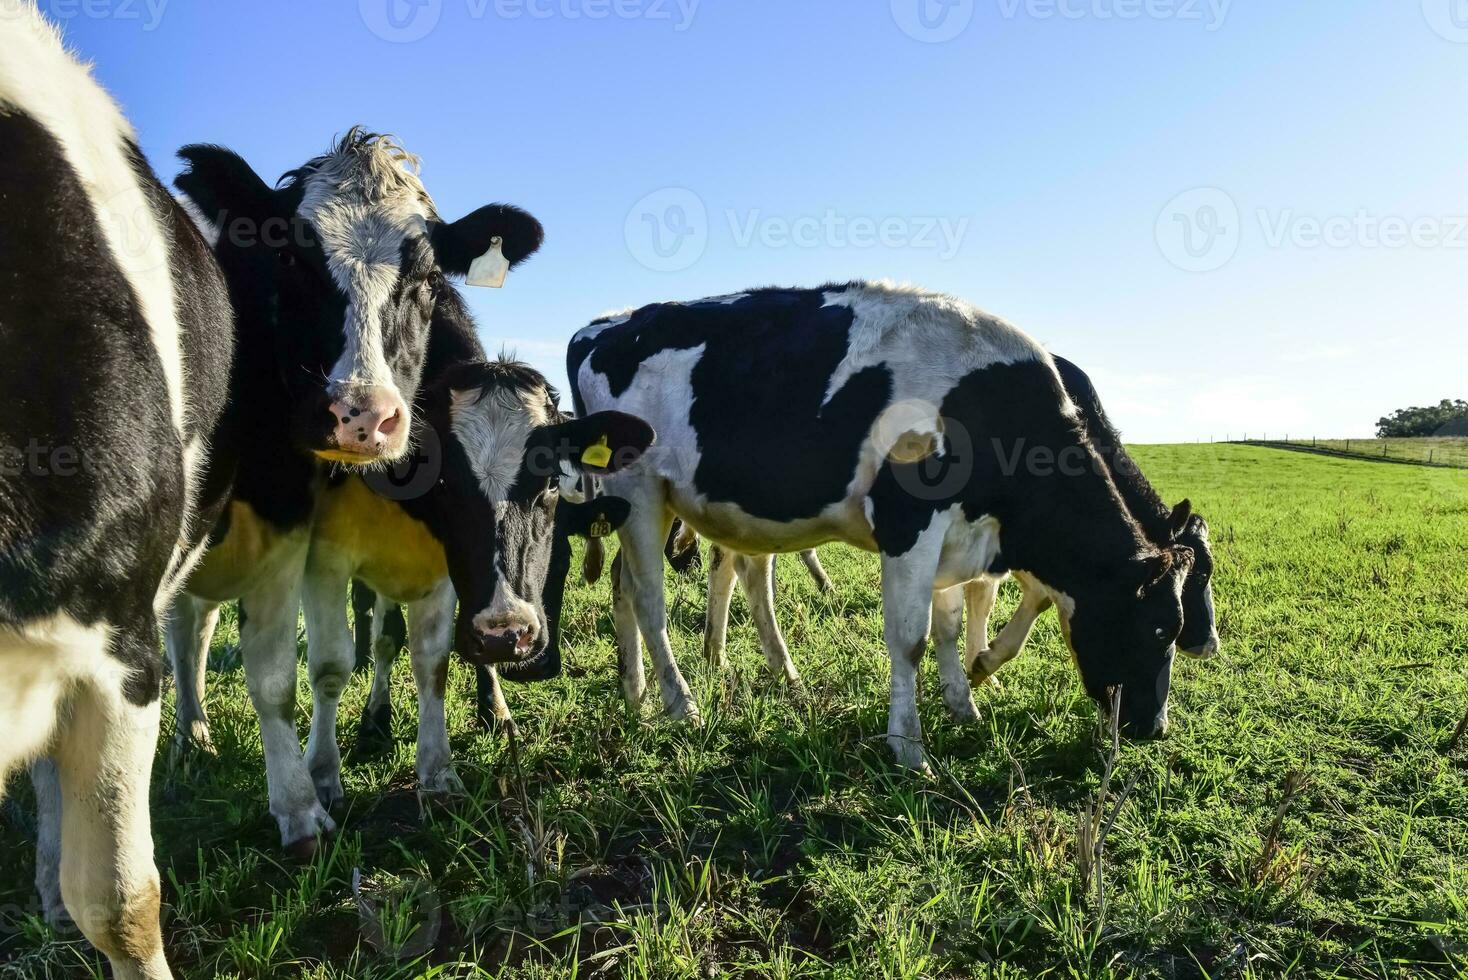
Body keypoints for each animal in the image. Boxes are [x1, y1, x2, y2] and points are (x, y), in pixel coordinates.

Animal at [160, 128, 549, 850]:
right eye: (291, 260)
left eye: (427, 279)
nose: (363, 415)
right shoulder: (315, 551)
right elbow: (324, 665)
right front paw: (318, 782)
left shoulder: (438, 562)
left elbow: (429, 658)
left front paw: (438, 772)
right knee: (186, 632)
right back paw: (192, 738)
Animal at [566, 283, 1197, 762]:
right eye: (1161, 629)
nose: (1154, 728)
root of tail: (603, 325)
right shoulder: (909, 524)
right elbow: (910, 638)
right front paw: (909, 747)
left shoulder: (956, 537)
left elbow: (947, 627)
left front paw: (964, 706)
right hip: (639, 489)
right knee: (649, 597)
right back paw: (681, 704)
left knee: (630, 584)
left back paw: (637, 694)